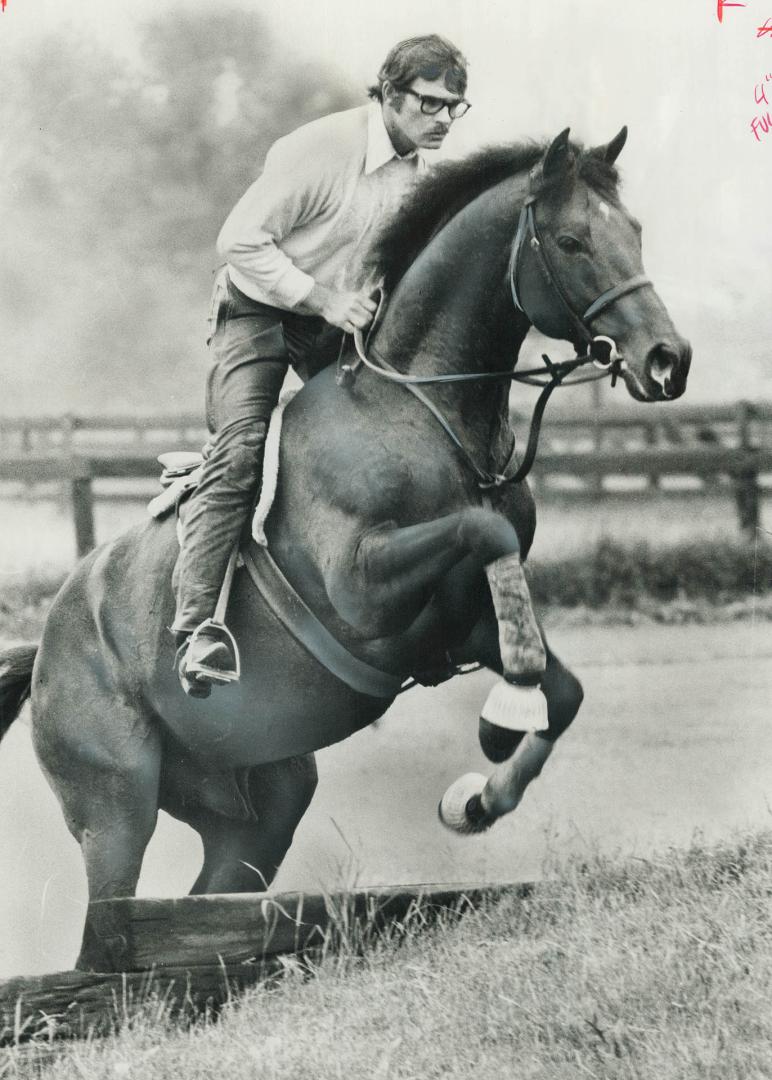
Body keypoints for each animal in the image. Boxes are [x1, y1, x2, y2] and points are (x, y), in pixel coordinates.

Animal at [0, 128, 686, 972]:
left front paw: (480, 792)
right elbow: (485, 535)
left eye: (637, 232)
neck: (423, 410)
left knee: (204, 897)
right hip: (115, 805)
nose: (668, 359)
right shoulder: (363, 588)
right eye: (571, 241)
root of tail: (44, 650)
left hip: (260, 805)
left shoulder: (462, 625)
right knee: (106, 929)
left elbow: (563, 690)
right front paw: (504, 713)